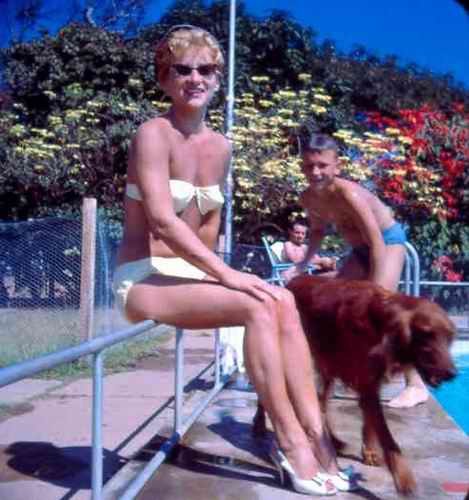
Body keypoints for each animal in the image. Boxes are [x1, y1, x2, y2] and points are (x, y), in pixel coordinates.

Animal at [253, 275, 457, 495]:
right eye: (428, 335)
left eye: (449, 338)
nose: (452, 374)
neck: (381, 320)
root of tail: (293, 279)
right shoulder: (366, 383)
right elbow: (387, 438)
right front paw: (404, 478)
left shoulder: (370, 383)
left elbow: (370, 421)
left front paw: (369, 451)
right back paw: (258, 425)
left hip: (326, 367)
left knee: (321, 404)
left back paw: (333, 441)